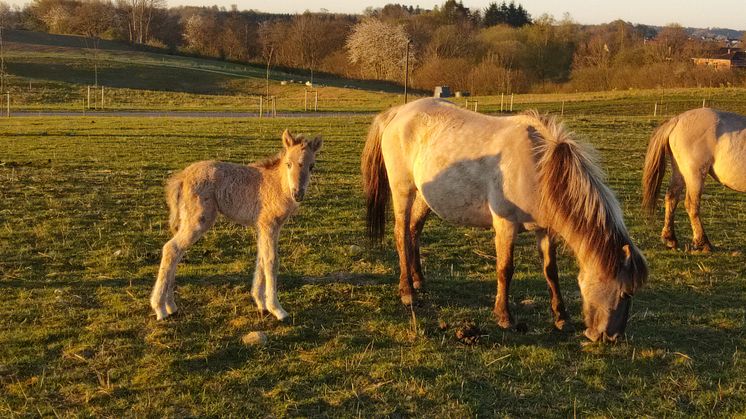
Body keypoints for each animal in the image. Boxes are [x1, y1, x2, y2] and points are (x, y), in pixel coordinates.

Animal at [150, 130, 322, 322]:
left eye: (312, 166)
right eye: (288, 163)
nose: (298, 194)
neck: (277, 184)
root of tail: (181, 177)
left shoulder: (265, 227)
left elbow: (261, 258)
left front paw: (261, 304)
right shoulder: (268, 224)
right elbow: (271, 261)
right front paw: (277, 309)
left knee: (177, 252)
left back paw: (171, 306)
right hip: (199, 219)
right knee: (171, 248)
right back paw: (160, 308)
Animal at [360, 100, 644, 342]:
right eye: (625, 292)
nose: (611, 338)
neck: (539, 167)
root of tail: (398, 112)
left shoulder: (545, 230)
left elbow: (551, 271)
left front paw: (561, 317)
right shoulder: (506, 225)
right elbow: (505, 269)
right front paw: (504, 317)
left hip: (423, 195)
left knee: (413, 231)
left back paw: (419, 280)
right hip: (403, 190)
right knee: (401, 234)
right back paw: (407, 291)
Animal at [640, 109, 744, 253]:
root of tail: (677, 120)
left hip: (680, 172)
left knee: (671, 197)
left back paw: (670, 239)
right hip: (695, 175)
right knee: (691, 205)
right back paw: (702, 243)